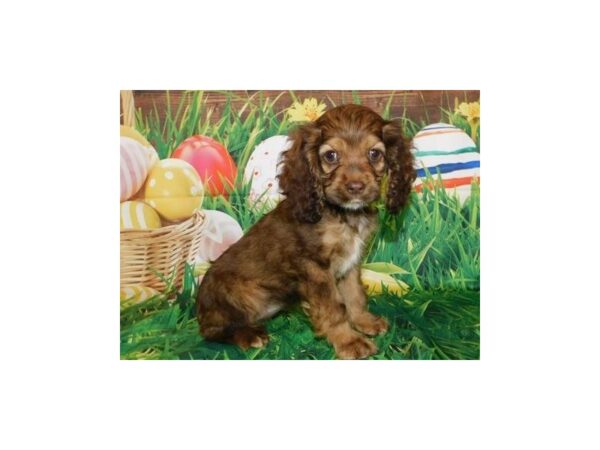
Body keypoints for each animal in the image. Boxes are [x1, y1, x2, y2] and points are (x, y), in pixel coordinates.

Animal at [197, 103, 418, 358]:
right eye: (331, 155)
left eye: (374, 154)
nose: (355, 187)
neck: (342, 214)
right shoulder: (316, 268)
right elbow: (334, 308)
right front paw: (349, 341)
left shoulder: (351, 263)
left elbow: (354, 296)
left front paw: (364, 321)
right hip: (239, 295)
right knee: (211, 330)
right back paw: (249, 335)